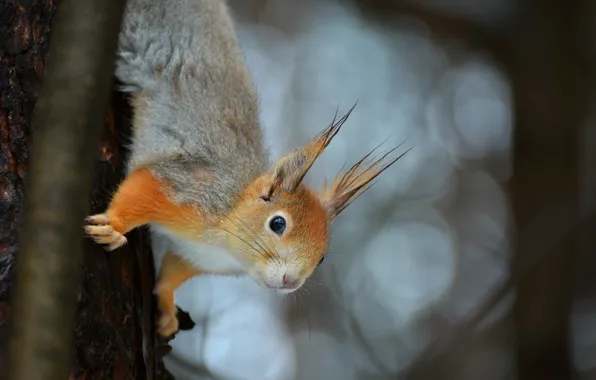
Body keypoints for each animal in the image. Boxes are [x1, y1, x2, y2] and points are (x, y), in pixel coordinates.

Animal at [84, 0, 406, 338]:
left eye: (321, 259)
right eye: (277, 224)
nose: (291, 281)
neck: (224, 243)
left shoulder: (195, 256)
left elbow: (172, 271)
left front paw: (167, 309)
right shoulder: (187, 186)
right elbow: (142, 187)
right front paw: (113, 226)